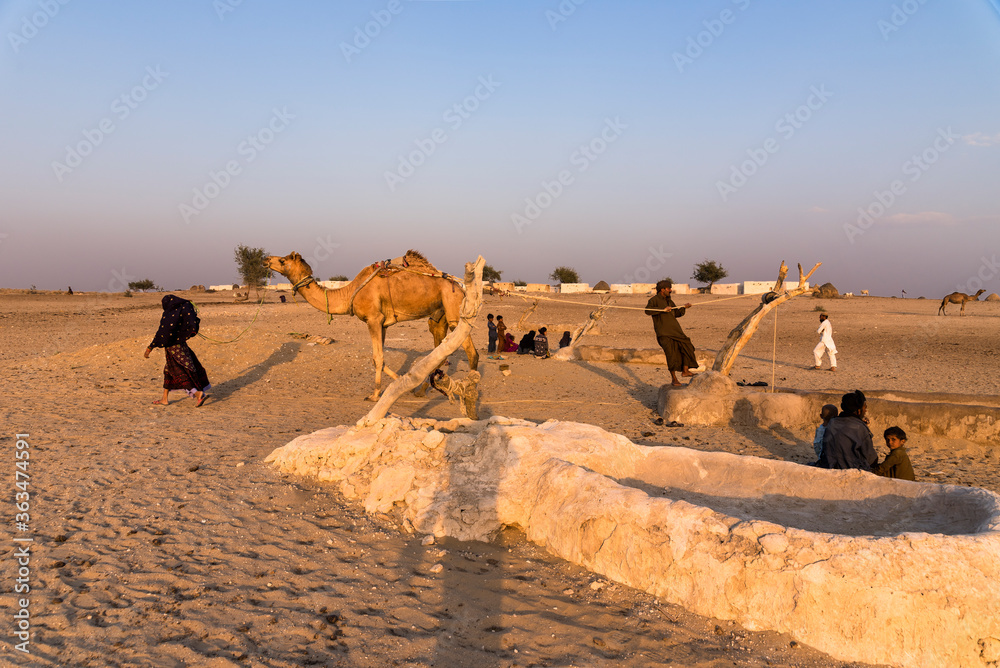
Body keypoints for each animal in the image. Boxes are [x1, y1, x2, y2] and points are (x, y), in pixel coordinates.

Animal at [266, 251, 478, 400]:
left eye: (283, 261)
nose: (266, 259)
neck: (349, 293)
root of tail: (461, 287)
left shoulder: (373, 319)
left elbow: (377, 357)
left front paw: (374, 395)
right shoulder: (382, 324)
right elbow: (378, 359)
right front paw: (401, 382)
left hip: (453, 308)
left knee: (471, 352)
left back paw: (471, 390)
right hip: (439, 314)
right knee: (440, 351)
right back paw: (421, 390)